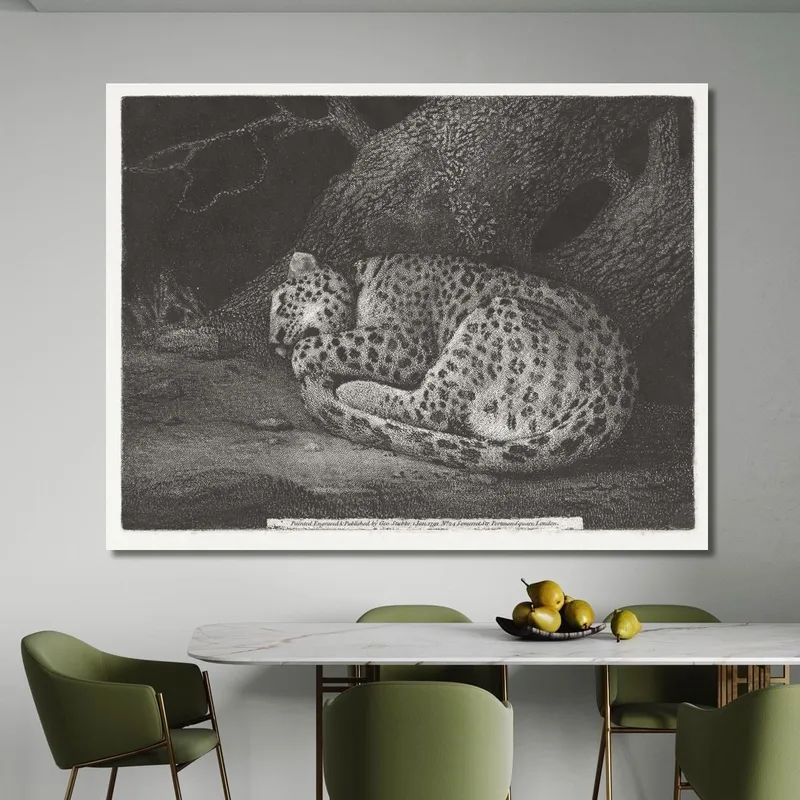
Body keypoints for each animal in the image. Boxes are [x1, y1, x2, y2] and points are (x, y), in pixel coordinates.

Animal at [269, 251, 637, 474]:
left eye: (281, 303)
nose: (274, 344)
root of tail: (618, 390)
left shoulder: (405, 344)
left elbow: (333, 343)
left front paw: (302, 357)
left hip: (491, 320)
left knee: (432, 407)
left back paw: (352, 390)